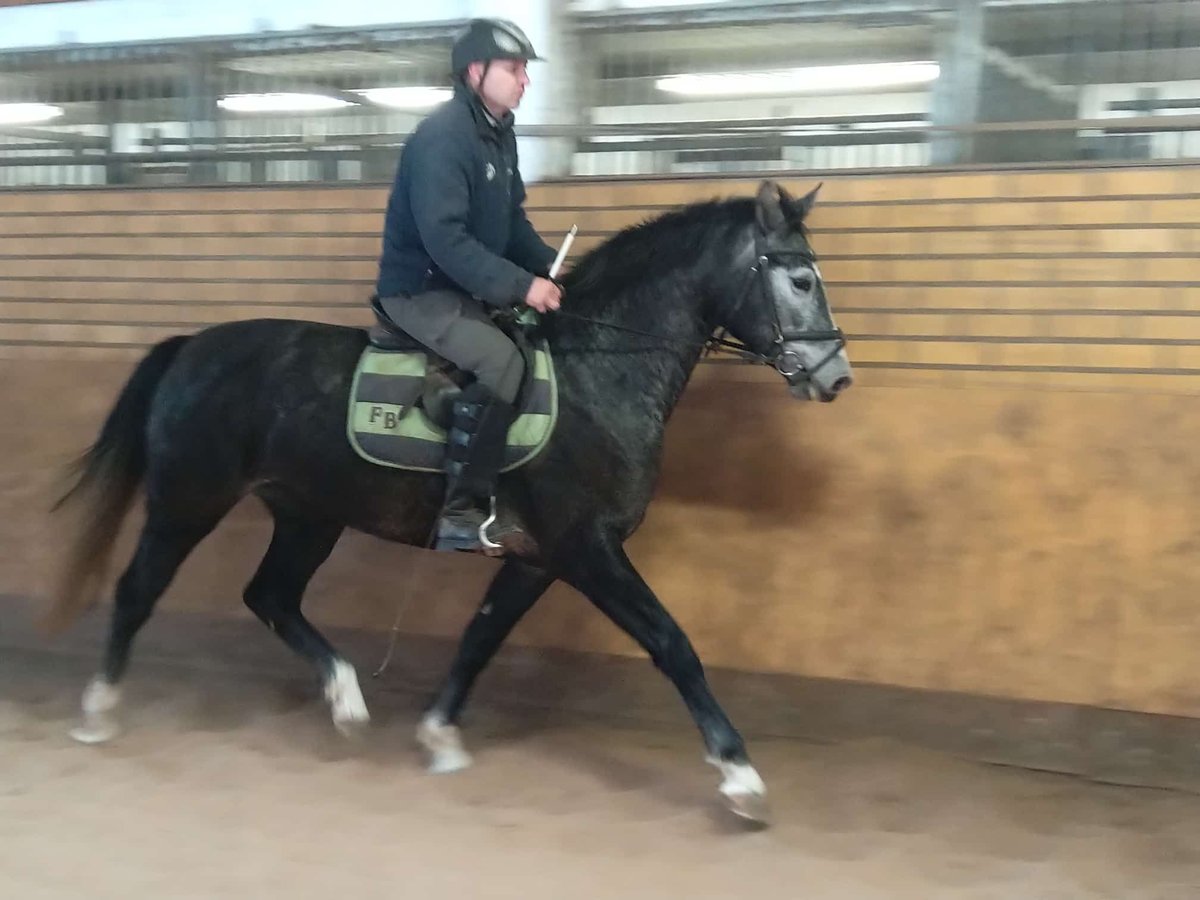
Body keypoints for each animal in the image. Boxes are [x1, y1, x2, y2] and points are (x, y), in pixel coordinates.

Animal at [46, 177, 854, 825]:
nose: (834, 376)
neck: (597, 375)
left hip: (309, 515)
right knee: (139, 589)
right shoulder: (586, 548)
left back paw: (346, 699)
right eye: (800, 280)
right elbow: (672, 643)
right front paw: (740, 776)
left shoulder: (539, 558)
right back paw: (98, 709)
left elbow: (481, 635)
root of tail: (190, 346)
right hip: (189, 502)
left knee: (270, 595)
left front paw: (438, 732)